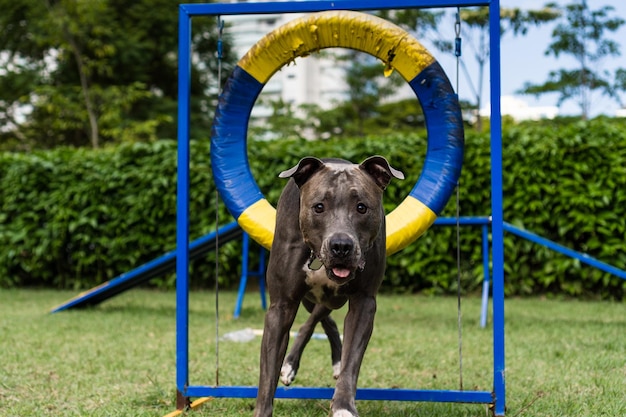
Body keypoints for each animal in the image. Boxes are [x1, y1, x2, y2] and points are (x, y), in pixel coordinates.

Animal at [254, 156, 404, 416]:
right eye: (319, 207)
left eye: (362, 207)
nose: (341, 246)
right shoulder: (281, 305)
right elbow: (268, 372)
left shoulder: (364, 303)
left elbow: (351, 362)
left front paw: (343, 406)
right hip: (310, 298)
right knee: (316, 320)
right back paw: (291, 365)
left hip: (331, 298)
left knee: (318, 319)